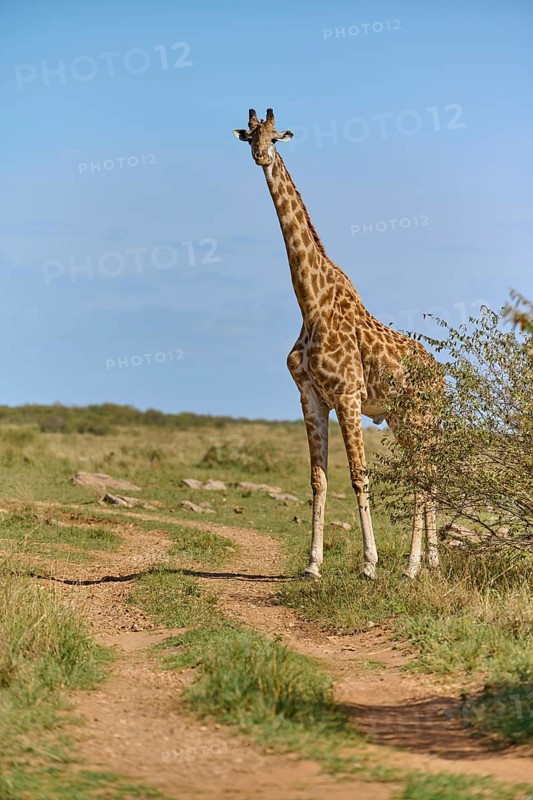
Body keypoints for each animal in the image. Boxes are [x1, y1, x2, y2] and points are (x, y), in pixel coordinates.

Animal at [234, 108, 441, 580]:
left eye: (276, 136)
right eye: (249, 136)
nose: (260, 156)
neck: (311, 303)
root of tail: (442, 376)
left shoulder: (347, 394)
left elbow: (359, 475)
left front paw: (369, 564)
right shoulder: (311, 397)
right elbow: (318, 478)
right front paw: (312, 564)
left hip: (420, 415)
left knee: (424, 475)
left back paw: (412, 567)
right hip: (400, 418)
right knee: (425, 473)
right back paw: (429, 563)